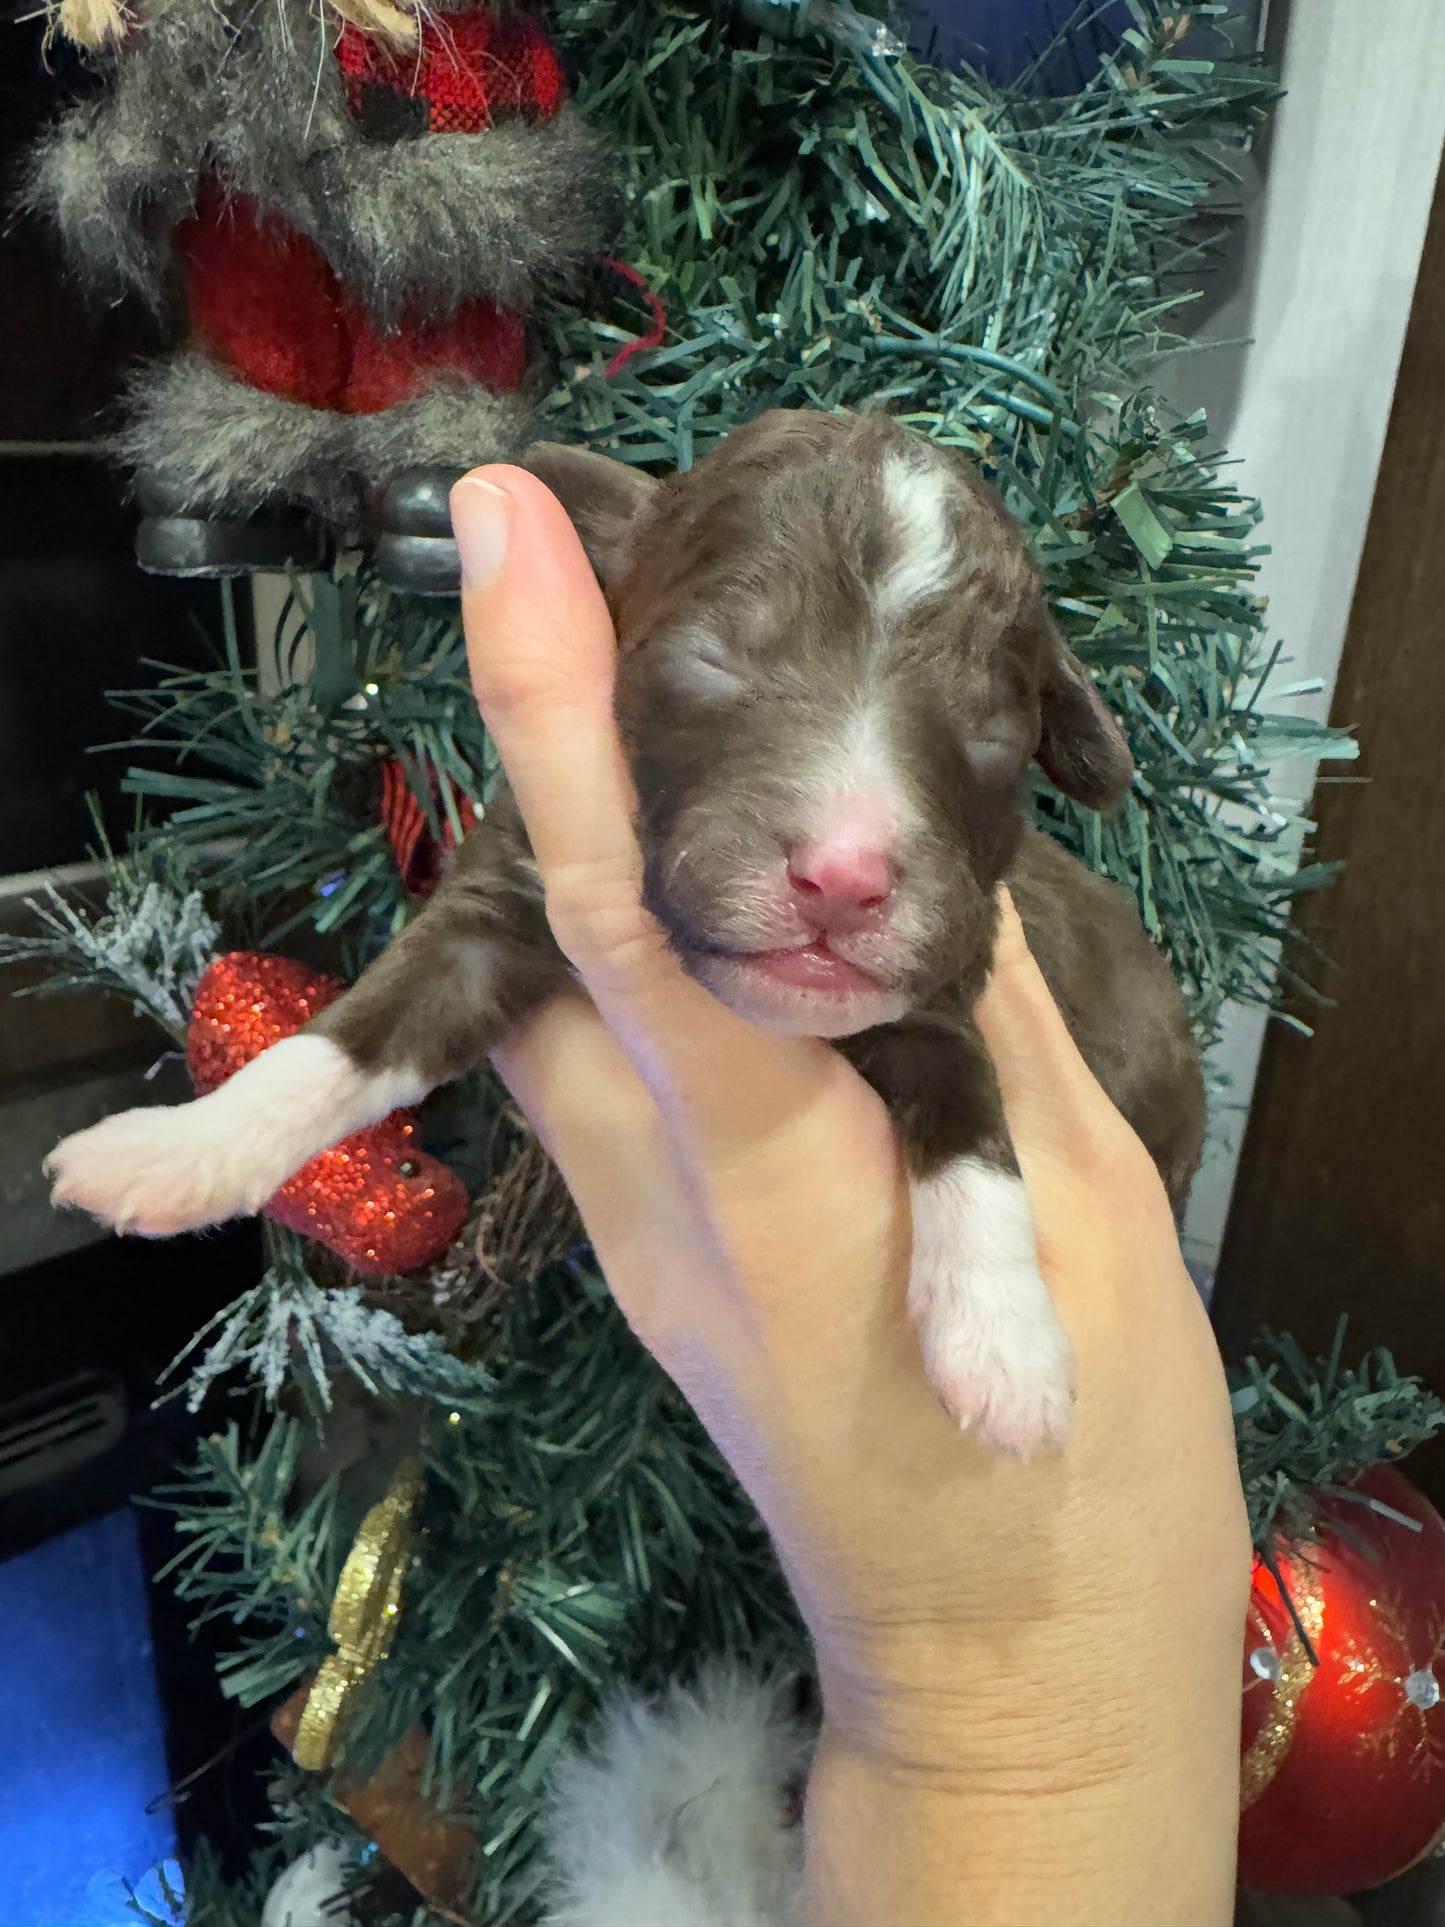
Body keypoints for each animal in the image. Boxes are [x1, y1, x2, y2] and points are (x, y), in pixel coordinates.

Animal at [48, 410, 1209, 1456]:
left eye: (989, 732)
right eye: (711, 661)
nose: (844, 878)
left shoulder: (939, 988)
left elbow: (972, 1125)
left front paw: (1002, 1337)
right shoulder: (493, 909)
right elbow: (350, 1039)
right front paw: (180, 1148)